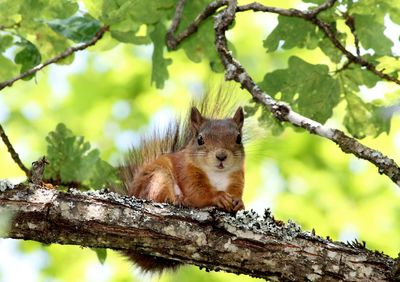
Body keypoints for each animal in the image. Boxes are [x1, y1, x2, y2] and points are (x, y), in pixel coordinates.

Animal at [117, 91, 245, 274]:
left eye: (238, 138)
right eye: (200, 139)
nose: (221, 156)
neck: (217, 175)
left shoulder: (236, 179)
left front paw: (239, 203)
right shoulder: (187, 173)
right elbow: (198, 193)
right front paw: (218, 197)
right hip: (159, 178)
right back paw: (178, 200)